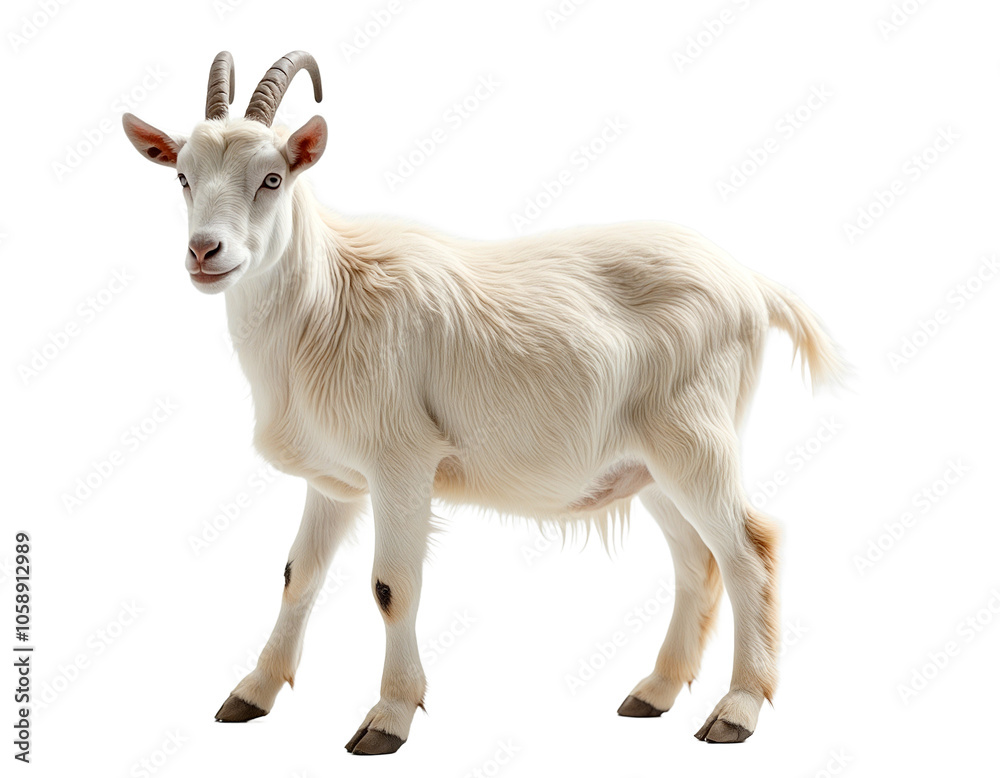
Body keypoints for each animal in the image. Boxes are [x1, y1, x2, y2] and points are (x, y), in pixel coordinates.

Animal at [123, 51, 844, 754]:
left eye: (272, 178)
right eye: (182, 175)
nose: (205, 251)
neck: (327, 304)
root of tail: (752, 285)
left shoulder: (402, 462)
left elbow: (392, 585)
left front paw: (388, 718)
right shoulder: (335, 481)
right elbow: (299, 576)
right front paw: (252, 694)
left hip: (696, 441)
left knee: (750, 551)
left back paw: (737, 711)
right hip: (649, 465)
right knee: (697, 562)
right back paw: (656, 692)